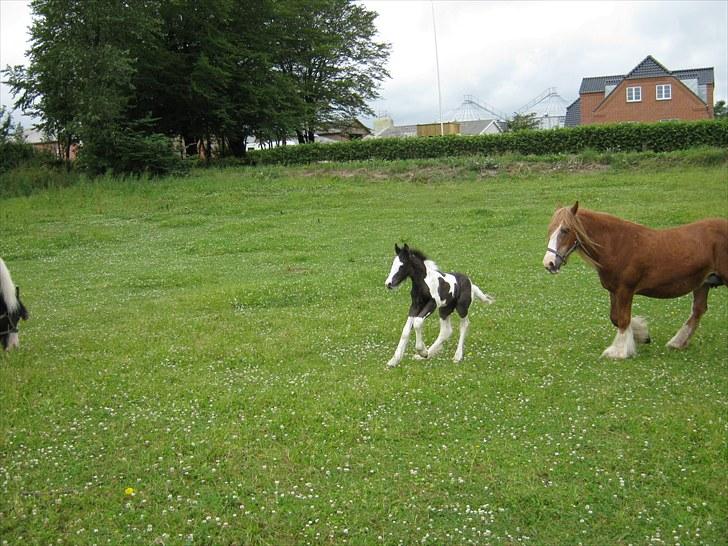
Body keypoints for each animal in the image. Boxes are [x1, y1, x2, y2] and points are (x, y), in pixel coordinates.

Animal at [544, 202, 724, 360]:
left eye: (565, 230)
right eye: (550, 230)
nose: (549, 263)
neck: (617, 245)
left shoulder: (626, 290)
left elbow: (623, 319)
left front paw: (619, 351)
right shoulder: (614, 291)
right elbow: (615, 318)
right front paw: (642, 335)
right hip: (703, 283)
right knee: (698, 310)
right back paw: (677, 343)